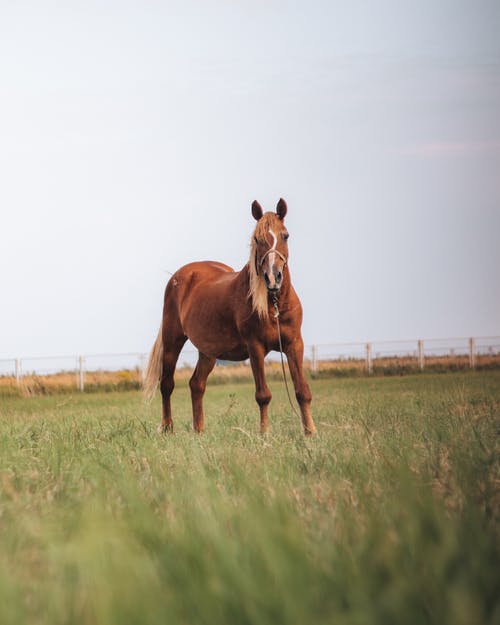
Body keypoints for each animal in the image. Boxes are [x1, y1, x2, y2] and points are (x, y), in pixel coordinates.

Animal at [145, 199, 316, 434]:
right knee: (167, 384)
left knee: (196, 384)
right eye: (257, 239)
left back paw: (199, 431)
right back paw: (168, 428)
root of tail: (179, 276)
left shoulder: (294, 344)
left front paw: (310, 433)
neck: (274, 305)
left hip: (208, 352)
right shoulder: (255, 347)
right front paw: (264, 433)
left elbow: (302, 391)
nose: (273, 278)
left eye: (285, 235)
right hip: (173, 341)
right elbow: (263, 395)